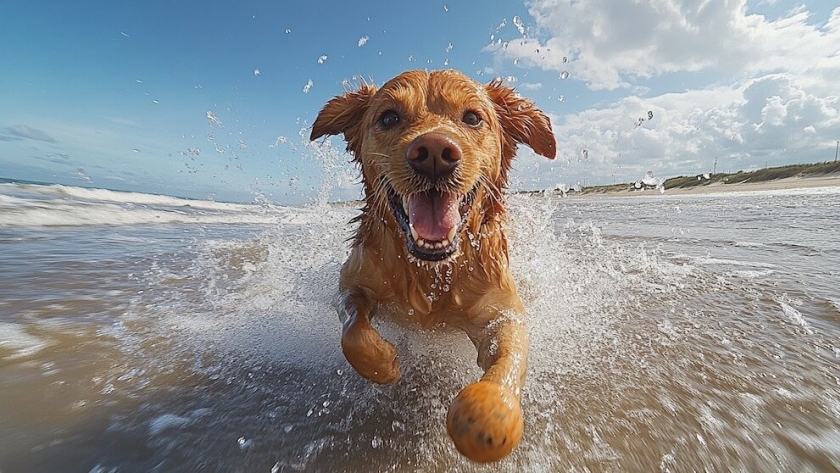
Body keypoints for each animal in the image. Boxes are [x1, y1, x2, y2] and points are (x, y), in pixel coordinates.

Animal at [310, 68, 556, 460]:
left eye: (472, 118)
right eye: (389, 117)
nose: (434, 153)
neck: (430, 271)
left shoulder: (502, 311)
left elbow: (509, 356)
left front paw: (488, 415)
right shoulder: (350, 281)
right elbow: (353, 332)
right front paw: (384, 361)